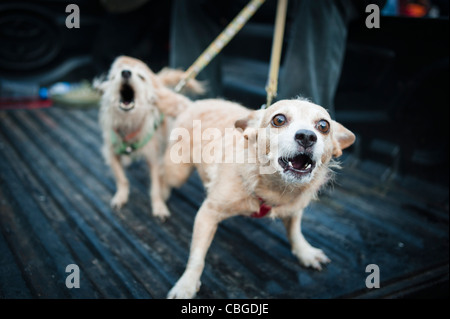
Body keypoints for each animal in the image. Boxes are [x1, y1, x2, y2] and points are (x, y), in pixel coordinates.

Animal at [98, 55, 204, 220]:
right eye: (114, 77)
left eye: (141, 77)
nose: (126, 72)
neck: (129, 123)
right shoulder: (111, 153)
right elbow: (122, 179)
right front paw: (121, 197)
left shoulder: (154, 159)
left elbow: (155, 188)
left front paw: (159, 206)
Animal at [165, 99, 356, 298]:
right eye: (279, 120)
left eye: (324, 126)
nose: (307, 136)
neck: (274, 187)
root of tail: (191, 104)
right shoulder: (207, 214)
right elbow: (197, 256)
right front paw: (187, 284)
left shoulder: (293, 209)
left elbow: (295, 232)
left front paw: (305, 252)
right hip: (177, 173)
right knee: (158, 174)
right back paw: (159, 205)